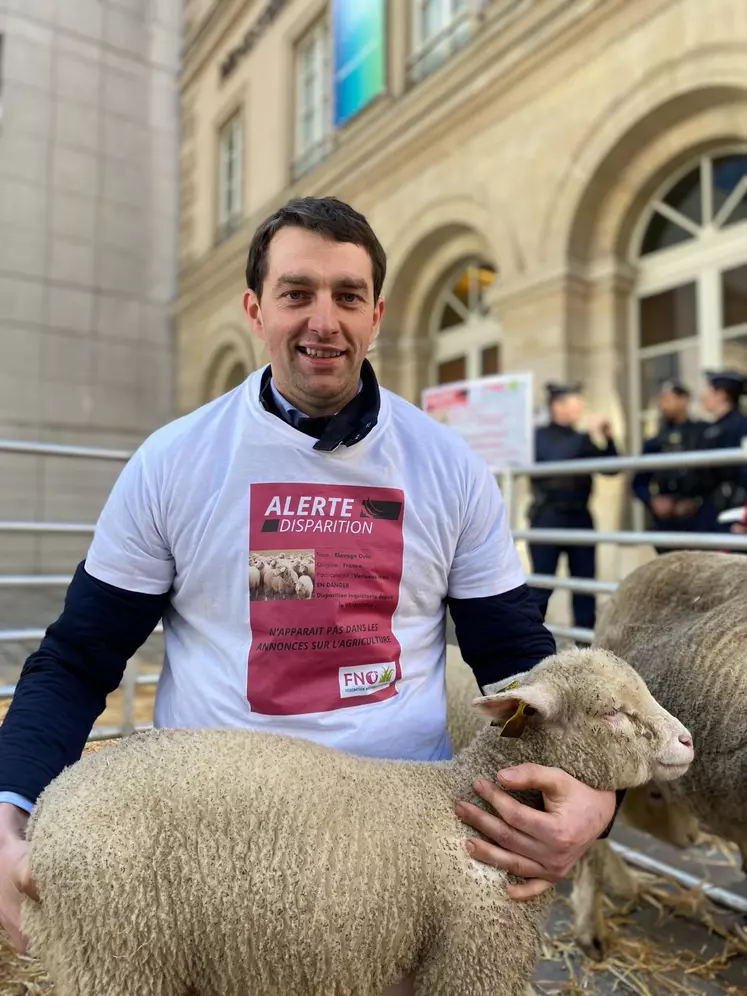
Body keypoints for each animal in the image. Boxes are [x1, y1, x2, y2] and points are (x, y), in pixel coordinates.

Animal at [20, 644, 692, 996]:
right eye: (612, 713)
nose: (688, 741)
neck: (461, 802)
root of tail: (47, 811)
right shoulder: (471, 955)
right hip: (118, 953)